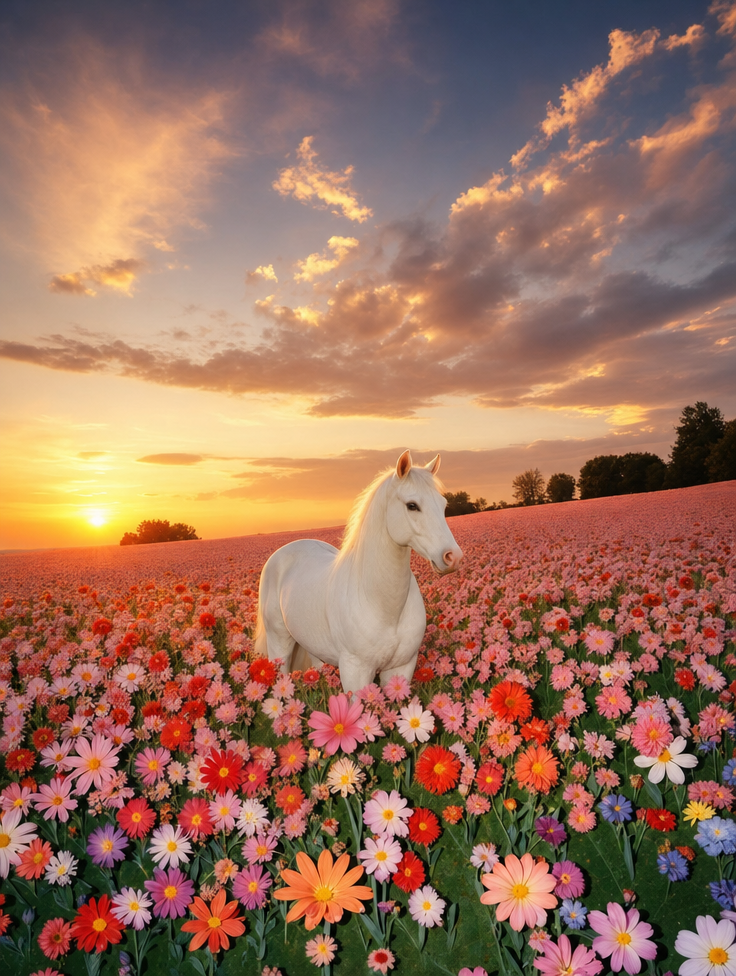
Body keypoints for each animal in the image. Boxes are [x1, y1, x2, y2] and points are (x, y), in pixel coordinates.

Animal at [254, 450, 463, 693]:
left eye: (443, 504)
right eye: (412, 505)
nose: (453, 557)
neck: (383, 607)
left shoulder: (402, 667)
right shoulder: (355, 671)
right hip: (279, 644)